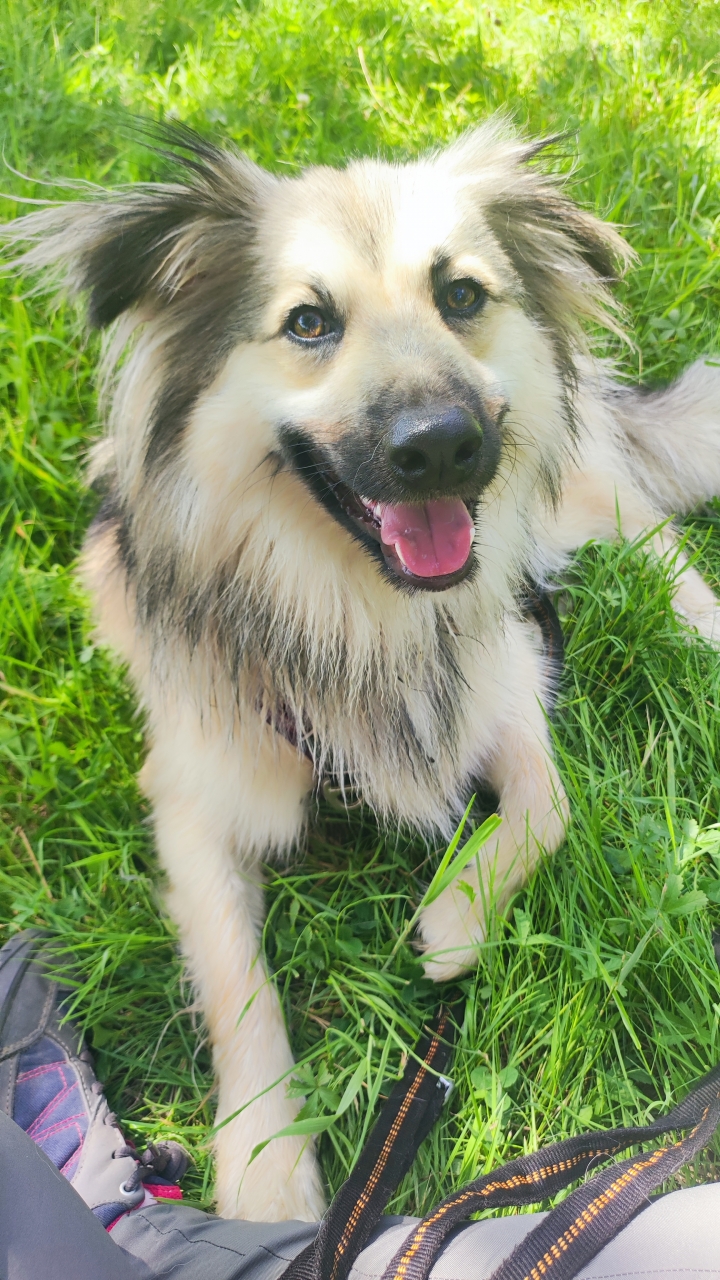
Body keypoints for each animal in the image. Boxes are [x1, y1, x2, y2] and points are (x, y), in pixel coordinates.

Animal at [4, 118, 720, 1221]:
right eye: (307, 321)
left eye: (461, 295)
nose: (443, 446)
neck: (358, 607)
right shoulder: (194, 802)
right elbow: (237, 982)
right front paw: (265, 1167)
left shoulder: (511, 678)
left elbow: (547, 807)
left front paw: (455, 917)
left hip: (578, 502)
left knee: (650, 527)